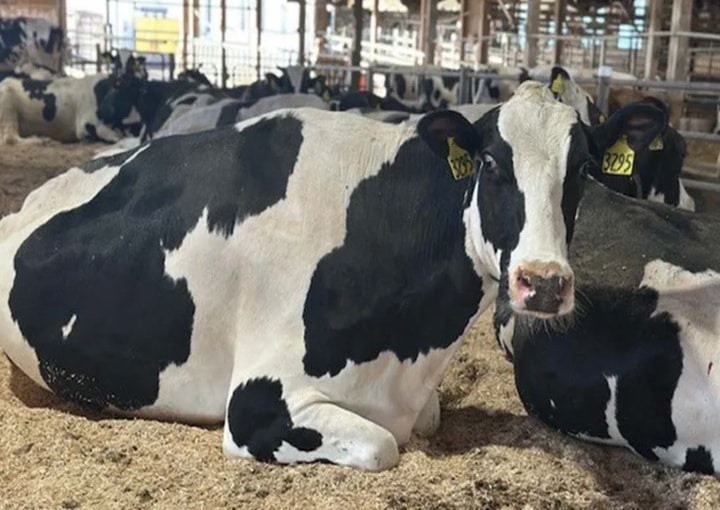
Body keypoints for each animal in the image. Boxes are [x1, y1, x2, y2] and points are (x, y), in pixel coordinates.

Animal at [0, 72, 140, 144]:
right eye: (126, 96)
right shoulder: (85, 124)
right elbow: (115, 137)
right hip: (8, 109)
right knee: (10, 138)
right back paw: (42, 140)